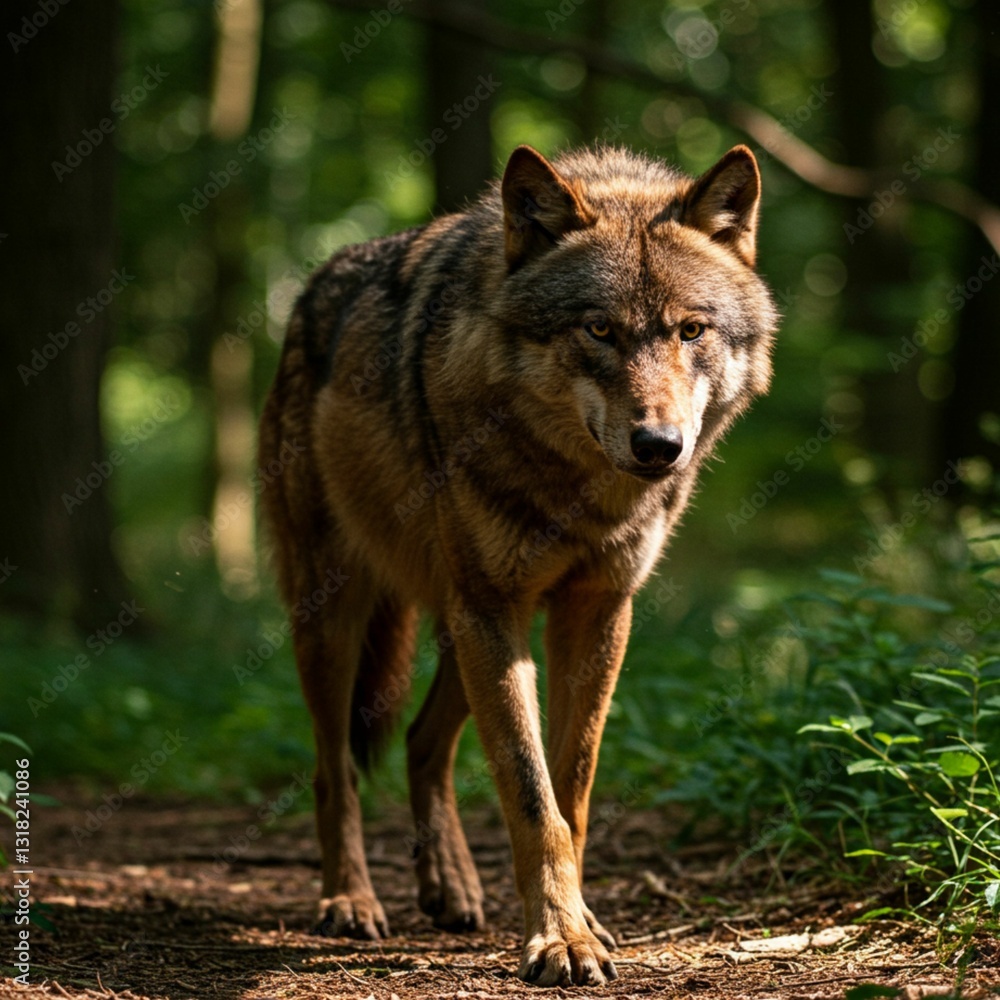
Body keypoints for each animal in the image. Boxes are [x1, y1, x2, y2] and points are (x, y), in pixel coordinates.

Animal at [258, 142, 778, 986]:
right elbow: (531, 797)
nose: (659, 447)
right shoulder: (493, 609)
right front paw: (559, 940)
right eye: (598, 329)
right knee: (333, 767)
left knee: (423, 743)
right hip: (342, 619)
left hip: (461, 629)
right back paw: (350, 902)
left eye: (691, 330)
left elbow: (571, 787)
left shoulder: (595, 612)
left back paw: (452, 887)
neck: (575, 490)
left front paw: (580, 923)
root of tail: (311, 289)